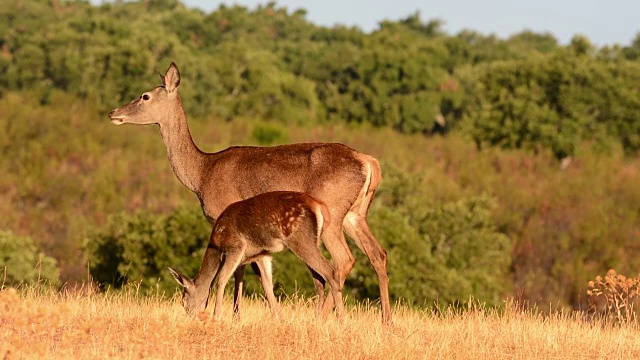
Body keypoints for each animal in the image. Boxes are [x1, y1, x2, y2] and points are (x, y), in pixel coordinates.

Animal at [168, 191, 342, 320]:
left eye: (183, 301)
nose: (191, 318)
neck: (216, 244)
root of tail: (320, 206)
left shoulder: (236, 246)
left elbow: (222, 279)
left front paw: (217, 316)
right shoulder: (262, 254)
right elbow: (267, 283)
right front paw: (279, 319)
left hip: (300, 239)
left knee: (331, 272)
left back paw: (340, 320)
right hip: (314, 241)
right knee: (319, 279)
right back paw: (317, 319)